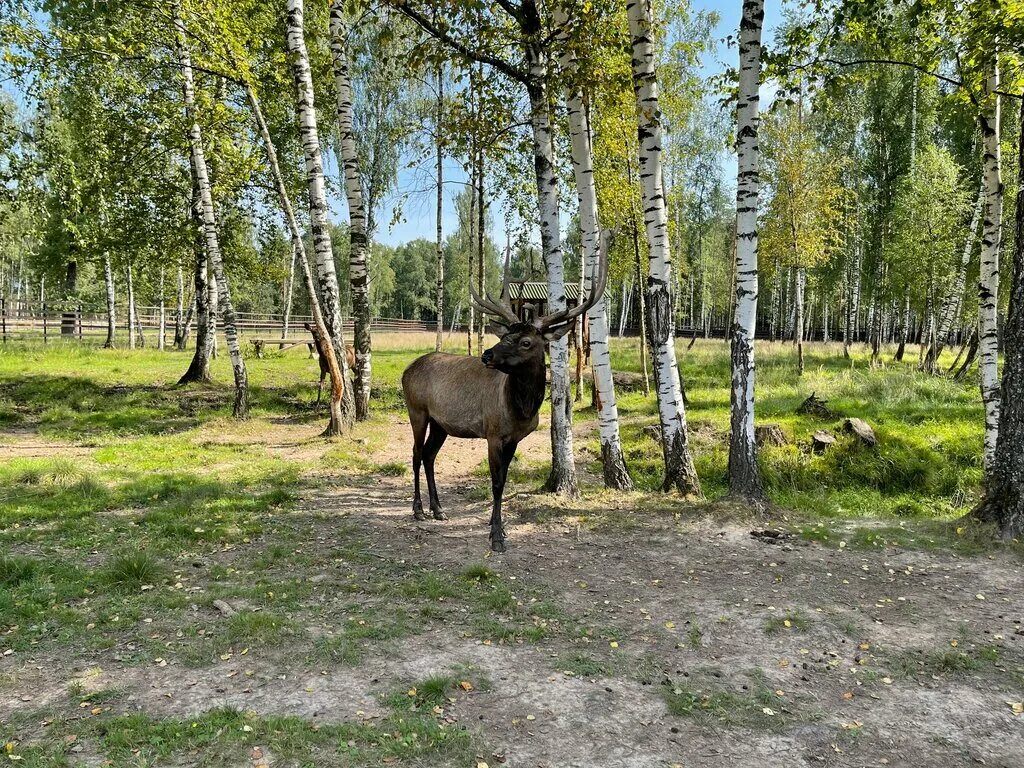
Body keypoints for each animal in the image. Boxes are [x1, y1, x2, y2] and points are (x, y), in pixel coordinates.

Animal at [399, 231, 606, 548]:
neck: (521, 410)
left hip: (440, 422)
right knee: (415, 454)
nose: (487, 355)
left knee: (429, 455)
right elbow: (496, 483)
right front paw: (496, 535)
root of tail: (406, 370)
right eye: (505, 335)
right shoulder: (493, 433)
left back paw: (438, 509)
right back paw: (419, 509)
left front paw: (500, 527)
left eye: (526, 342)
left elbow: (505, 479)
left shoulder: (515, 438)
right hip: (417, 410)